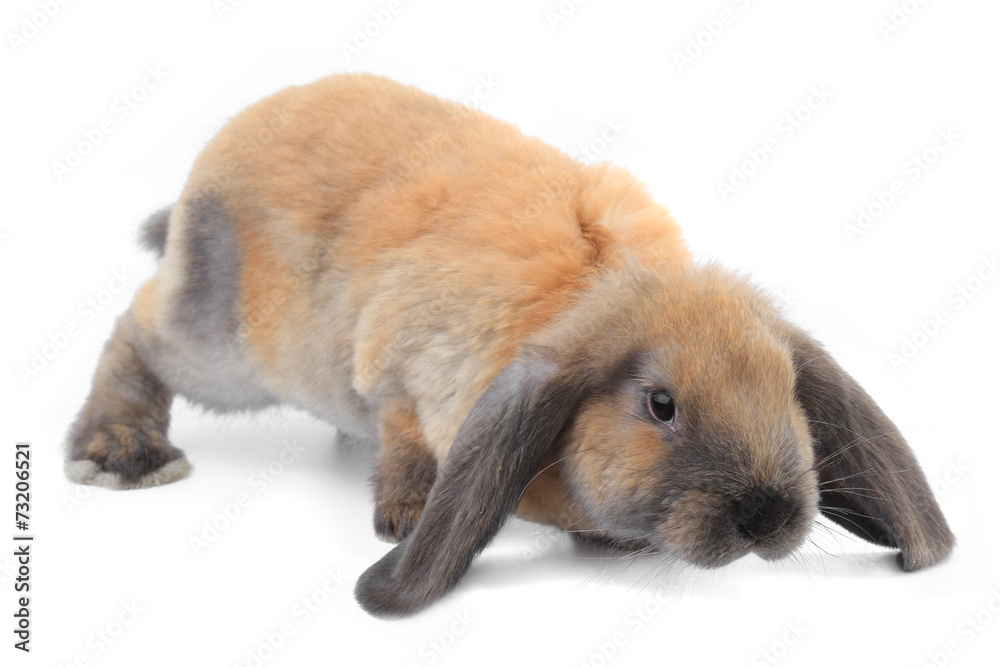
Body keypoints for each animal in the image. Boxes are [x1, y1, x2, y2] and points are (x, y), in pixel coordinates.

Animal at [65, 73, 955, 617]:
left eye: (787, 391)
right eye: (660, 404)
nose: (766, 515)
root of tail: (199, 176)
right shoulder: (399, 370)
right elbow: (403, 437)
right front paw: (408, 517)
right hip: (229, 346)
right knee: (135, 328)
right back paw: (122, 454)